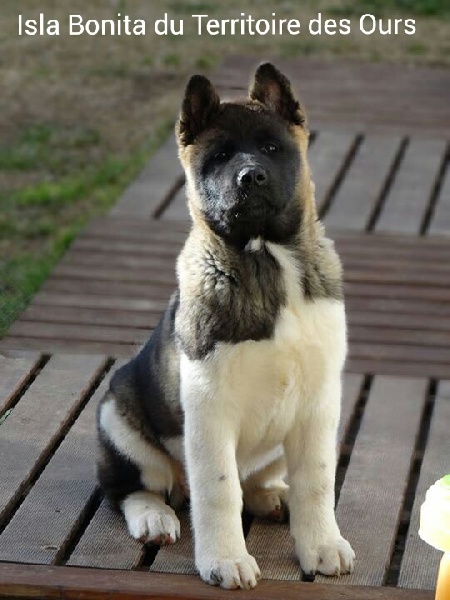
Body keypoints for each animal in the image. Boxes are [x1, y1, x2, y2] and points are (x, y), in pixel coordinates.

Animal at [97, 63, 356, 588]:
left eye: (272, 148)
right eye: (218, 156)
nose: (250, 176)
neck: (265, 257)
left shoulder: (319, 401)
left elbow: (316, 480)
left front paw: (321, 543)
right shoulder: (209, 409)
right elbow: (217, 489)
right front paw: (225, 559)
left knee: (256, 478)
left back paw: (272, 495)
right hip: (118, 416)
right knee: (127, 487)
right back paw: (154, 516)